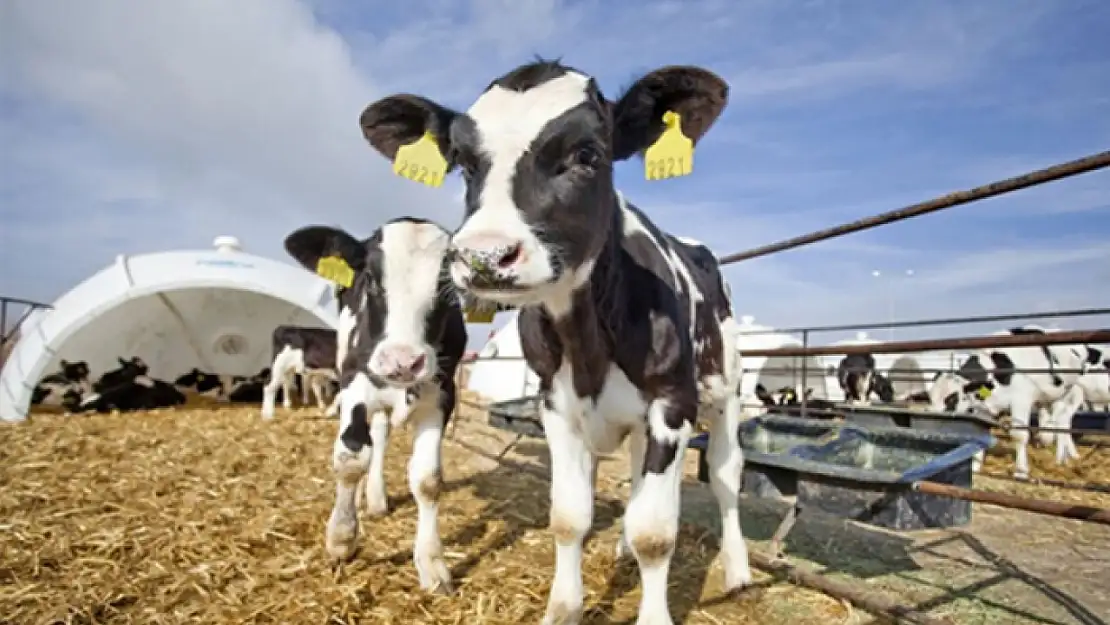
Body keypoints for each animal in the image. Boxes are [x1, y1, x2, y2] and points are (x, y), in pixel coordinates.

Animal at [281, 217, 468, 595]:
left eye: (450, 286)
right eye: (369, 276)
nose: (403, 361)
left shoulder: (442, 393)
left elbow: (428, 479)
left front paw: (432, 563)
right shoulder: (355, 379)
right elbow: (352, 458)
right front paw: (341, 539)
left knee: (380, 435)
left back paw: (377, 498)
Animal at [359, 59, 750, 625]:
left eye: (587, 155)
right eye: (463, 164)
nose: (484, 255)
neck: (588, 340)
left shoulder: (672, 402)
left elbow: (656, 534)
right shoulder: (557, 405)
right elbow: (570, 517)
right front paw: (564, 607)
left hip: (727, 390)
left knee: (724, 475)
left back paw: (737, 568)